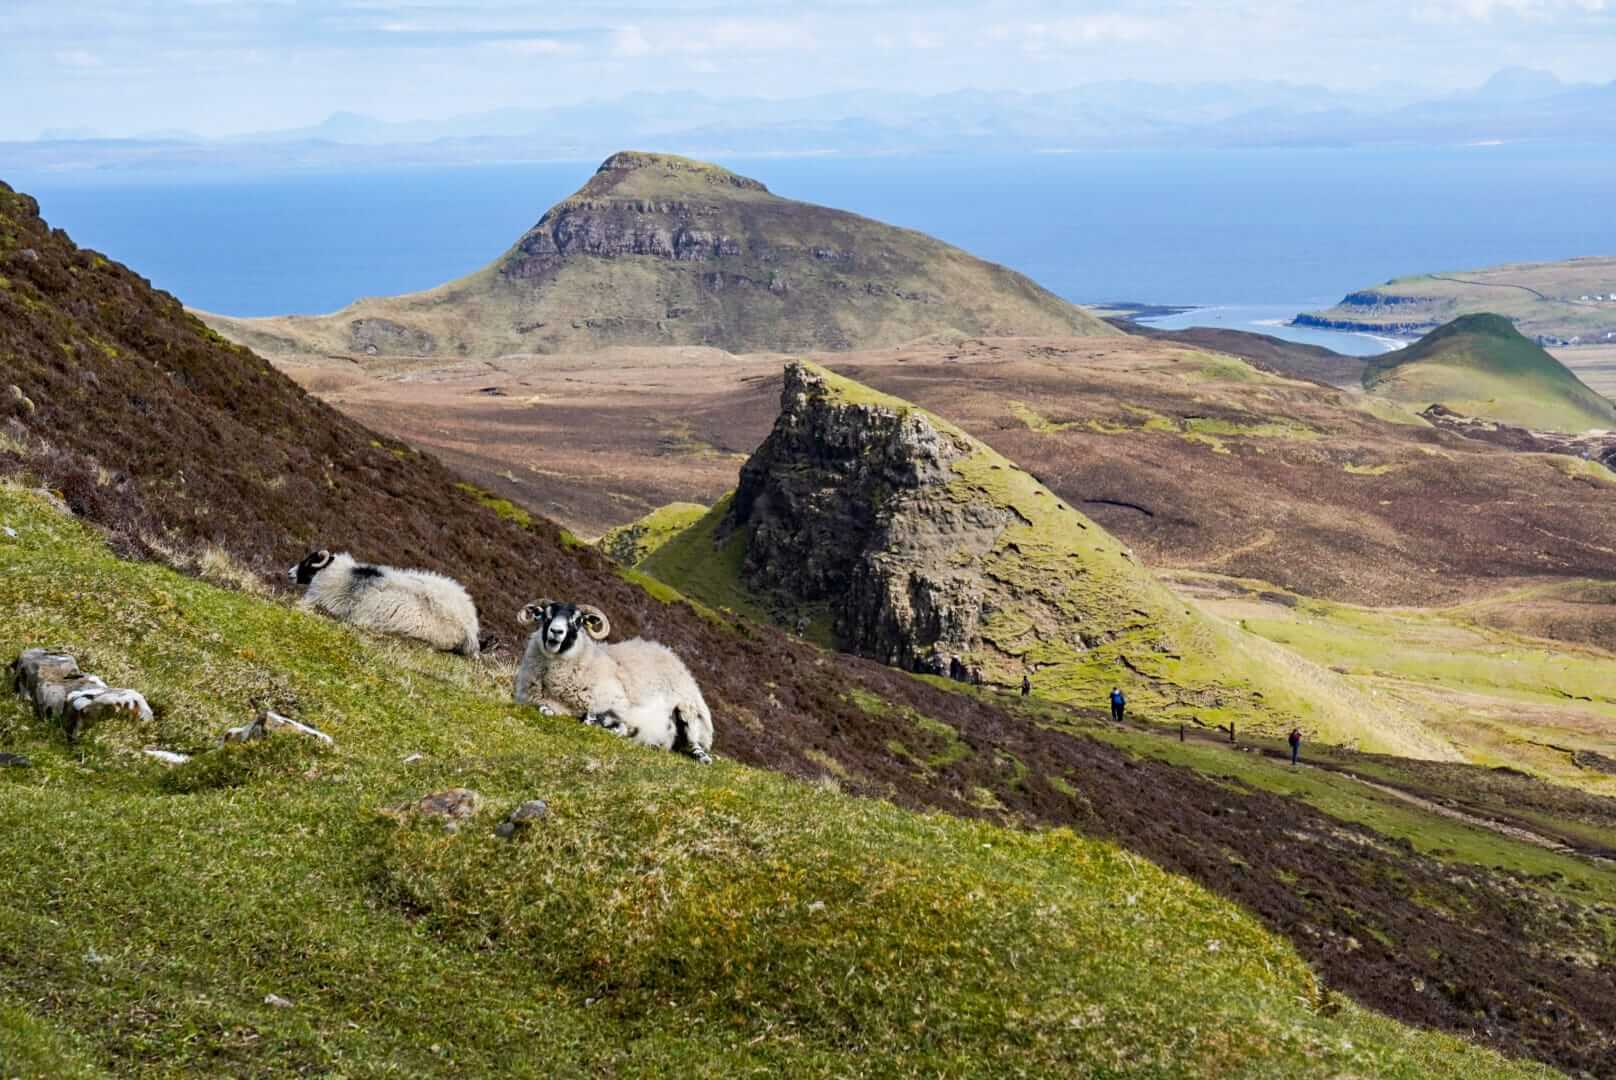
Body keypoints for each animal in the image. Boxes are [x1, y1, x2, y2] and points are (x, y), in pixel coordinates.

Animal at [517, 594, 714, 763]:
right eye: (545, 615)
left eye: (578, 620)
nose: (556, 631)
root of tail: (670, 654)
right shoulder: (533, 700)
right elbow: (545, 710)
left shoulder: (618, 703)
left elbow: (595, 721)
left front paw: (617, 728)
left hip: (687, 710)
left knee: (696, 746)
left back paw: (700, 756)